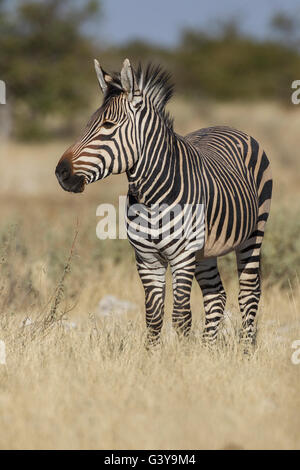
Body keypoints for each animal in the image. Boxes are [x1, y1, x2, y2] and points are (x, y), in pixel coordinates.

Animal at [55, 58, 272, 346]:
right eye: (88, 123)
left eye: (108, 126)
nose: (61, 173)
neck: (151, 198)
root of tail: (225, 126)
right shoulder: (147, 259)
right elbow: (153, 317)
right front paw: (153, 355)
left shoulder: (181, 256)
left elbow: (180, 316)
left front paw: (180, 356)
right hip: (204, 251)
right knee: (216, 296)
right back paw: (208, 350)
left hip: (253, 233)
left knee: (248, 294)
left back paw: (245, 350)